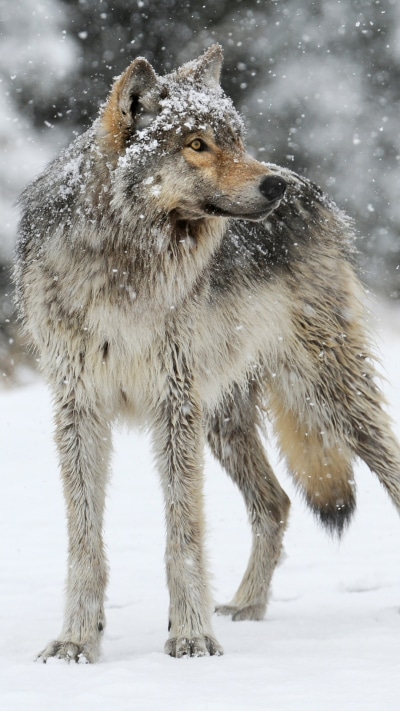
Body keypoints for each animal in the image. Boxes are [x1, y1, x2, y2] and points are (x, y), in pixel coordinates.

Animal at [15, 44, 400, 663]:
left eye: (236, 140)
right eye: (196, 144)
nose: (274, 187)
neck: (125, 267)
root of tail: (312, 189)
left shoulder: (174, 405)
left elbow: (184, 534)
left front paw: (191, 636)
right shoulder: (80, 409)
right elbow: (84, 541)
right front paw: (76, 641)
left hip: (328, 394)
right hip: (222, 418)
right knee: (275, 503)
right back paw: (247, 607)